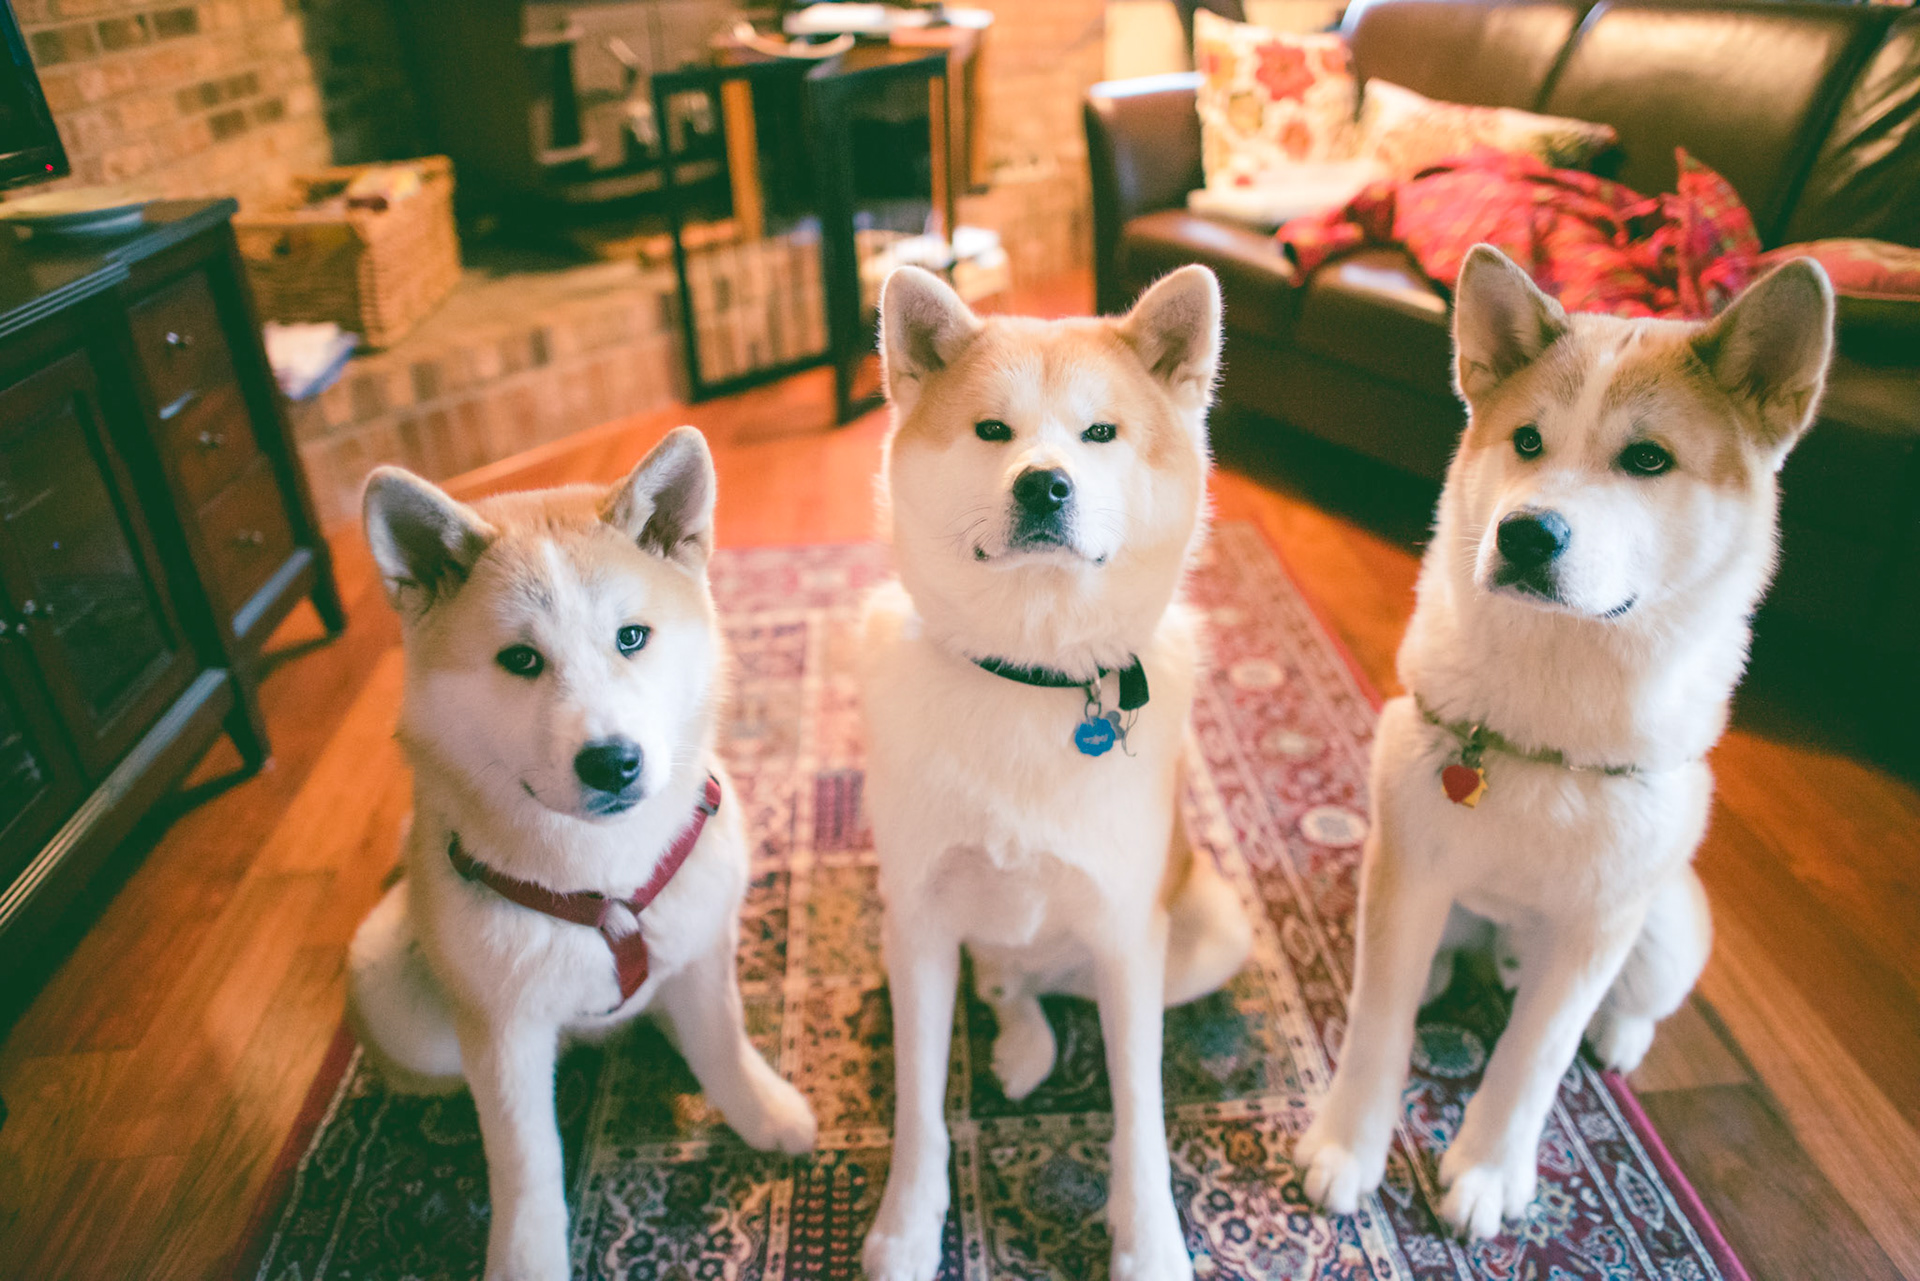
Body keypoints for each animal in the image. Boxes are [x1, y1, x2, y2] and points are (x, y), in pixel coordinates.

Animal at [347, 427, 816, 1281]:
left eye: (631, 636)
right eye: (520, 660)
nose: (613, 761)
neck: (605, 872)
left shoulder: (702, 942)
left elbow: (723, 1039)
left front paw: (755, 1106)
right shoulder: (503, 1029)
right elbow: (525, 1162)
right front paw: (528, 1256)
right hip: (391, 981)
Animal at [857, 265, 1255, 1281]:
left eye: (1100, 433)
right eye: (993, 430)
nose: (1044, 484)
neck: (1027, 677)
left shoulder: (1124, 936)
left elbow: (1139, 1111)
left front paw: (1147, 1239)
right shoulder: (918, 927)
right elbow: (919, 1106)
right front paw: (907, 1225)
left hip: (1208, 933)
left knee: (1038, 979)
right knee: (1005, 975)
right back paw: (1022, 1040)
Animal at [1295, 245, 1835, 1239]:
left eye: (1648, 458)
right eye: (1527, 442)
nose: (1525, 534)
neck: (1549, 706)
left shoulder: (1597, 924)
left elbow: (1533, 1056)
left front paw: (1487, 1168)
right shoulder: (1410, 871)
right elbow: (1378, 1025)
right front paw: (1349, 1146)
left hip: (1663, 924)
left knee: (1628, 1002)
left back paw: (1615, 1032)